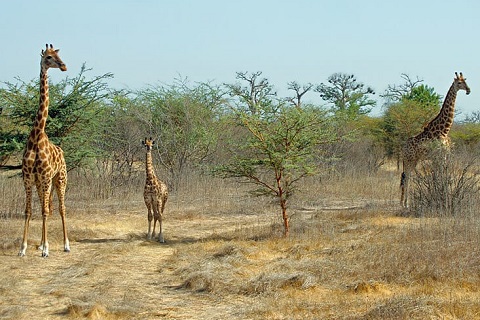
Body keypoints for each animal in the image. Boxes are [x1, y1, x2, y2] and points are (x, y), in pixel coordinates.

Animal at [400, 72, 470, 208]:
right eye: (459, 83)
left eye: (465, 80)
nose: (468, 90)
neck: (444, 130)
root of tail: (402, 147)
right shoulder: (438, 155)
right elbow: (440, 175)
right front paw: (442, 199)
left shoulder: (444, 155)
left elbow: (444, 175)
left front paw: (445, 199)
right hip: (409, 159)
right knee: (407, 177)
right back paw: (406, 204)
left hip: (414, 160)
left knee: (407, 177)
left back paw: (405, 203)